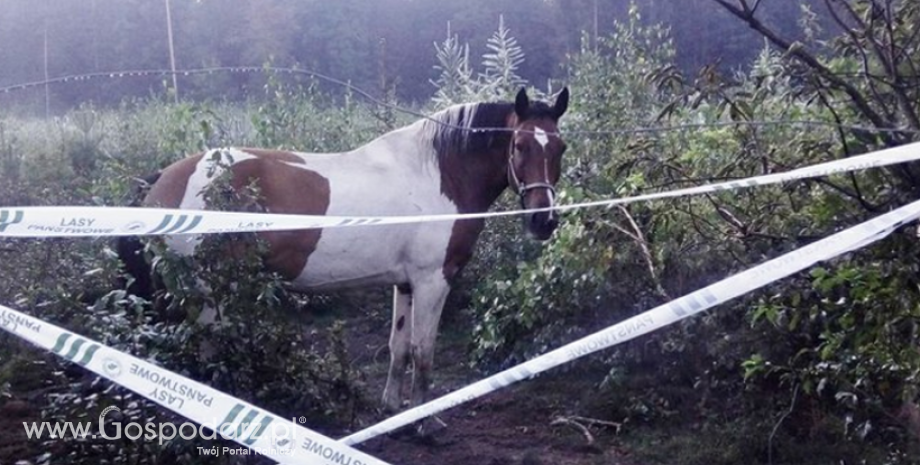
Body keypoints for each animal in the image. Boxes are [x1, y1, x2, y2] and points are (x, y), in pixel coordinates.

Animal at [119, 86, 572, 410]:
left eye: (559, 148)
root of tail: (164, 179)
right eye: (519, 146)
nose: (543, 220)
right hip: (208, 295)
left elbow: (399, 348)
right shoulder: (433, 281)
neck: (436, 173)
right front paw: (425, 422)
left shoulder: (405, 283)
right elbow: (424, 354)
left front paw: (393, 408)